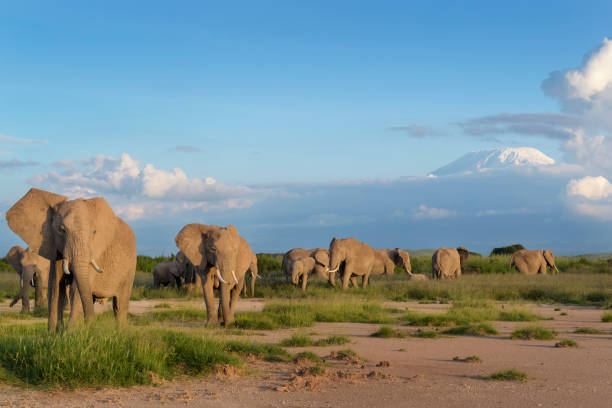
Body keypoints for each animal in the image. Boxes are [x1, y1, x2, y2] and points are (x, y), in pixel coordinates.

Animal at [5, 188, 136, 332]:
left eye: (94, 232)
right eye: (62, 230)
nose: (92, 325)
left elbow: (76, 287)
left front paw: (70, 332)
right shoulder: (54, 249)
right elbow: (55, 286)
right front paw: (54, 333)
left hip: (131, 266)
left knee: (120, 303)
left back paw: (120, 331)